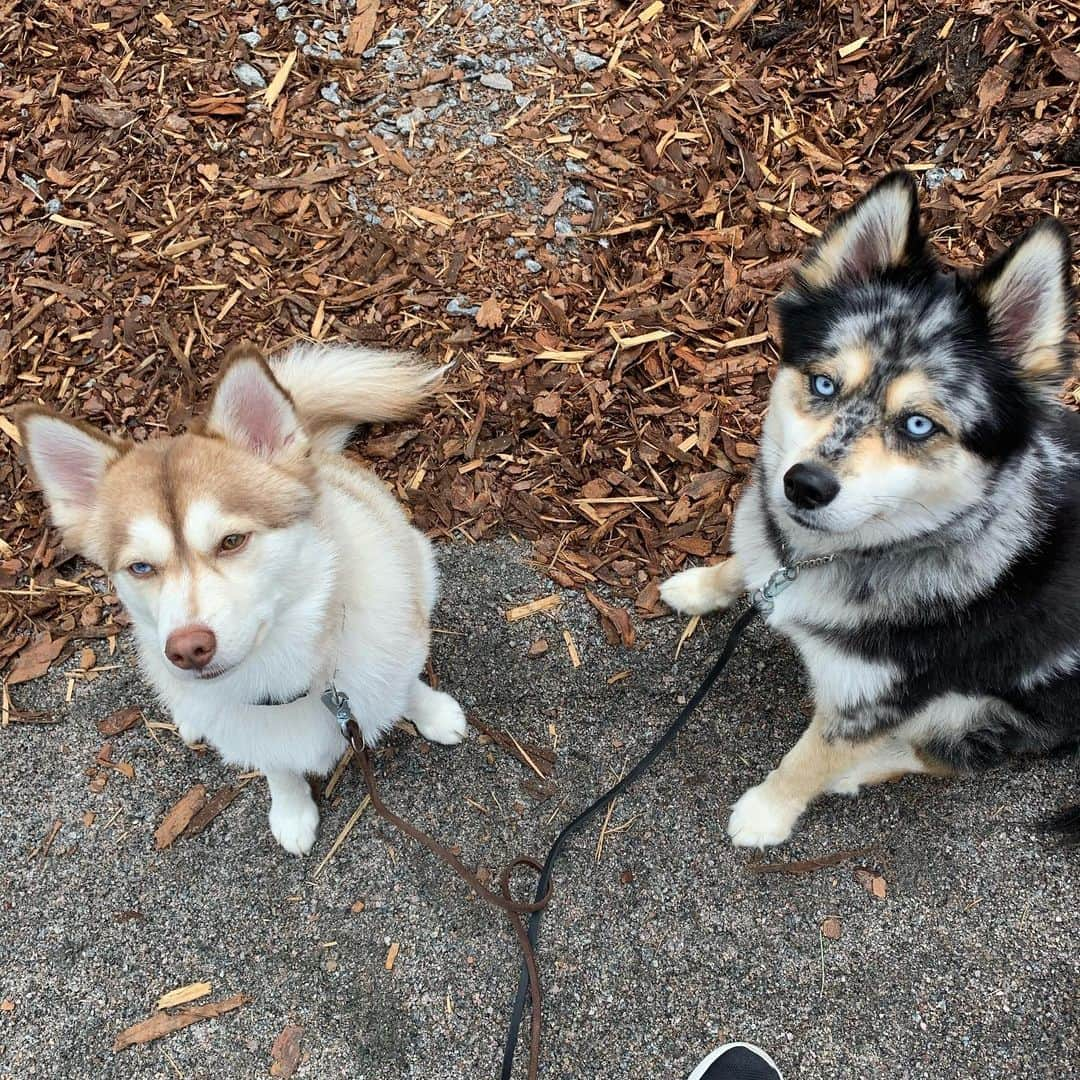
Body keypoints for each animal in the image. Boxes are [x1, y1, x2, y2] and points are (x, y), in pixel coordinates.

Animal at [660, 170, 1080, 842]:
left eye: (917, 424)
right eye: (824, 383)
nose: (803, 486)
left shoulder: (875, 700)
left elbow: (809, 758)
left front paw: (766, 814)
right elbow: (743, 560)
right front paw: (702, 587)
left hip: (970, 708)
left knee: (942, 756)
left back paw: (857, 775)